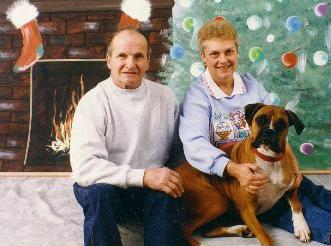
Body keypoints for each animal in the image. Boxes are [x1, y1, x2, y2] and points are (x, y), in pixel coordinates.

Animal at [178, 104, 312, 246]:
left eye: (281, 124)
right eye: (260, 119)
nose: (269, 132)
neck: (270, 159)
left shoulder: (292, 188)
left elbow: (297, 205)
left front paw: (302, 228)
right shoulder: (247, 209)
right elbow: (265, 236)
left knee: (208, 231)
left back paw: (240, 229)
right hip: (217, 202)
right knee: (185, 229)